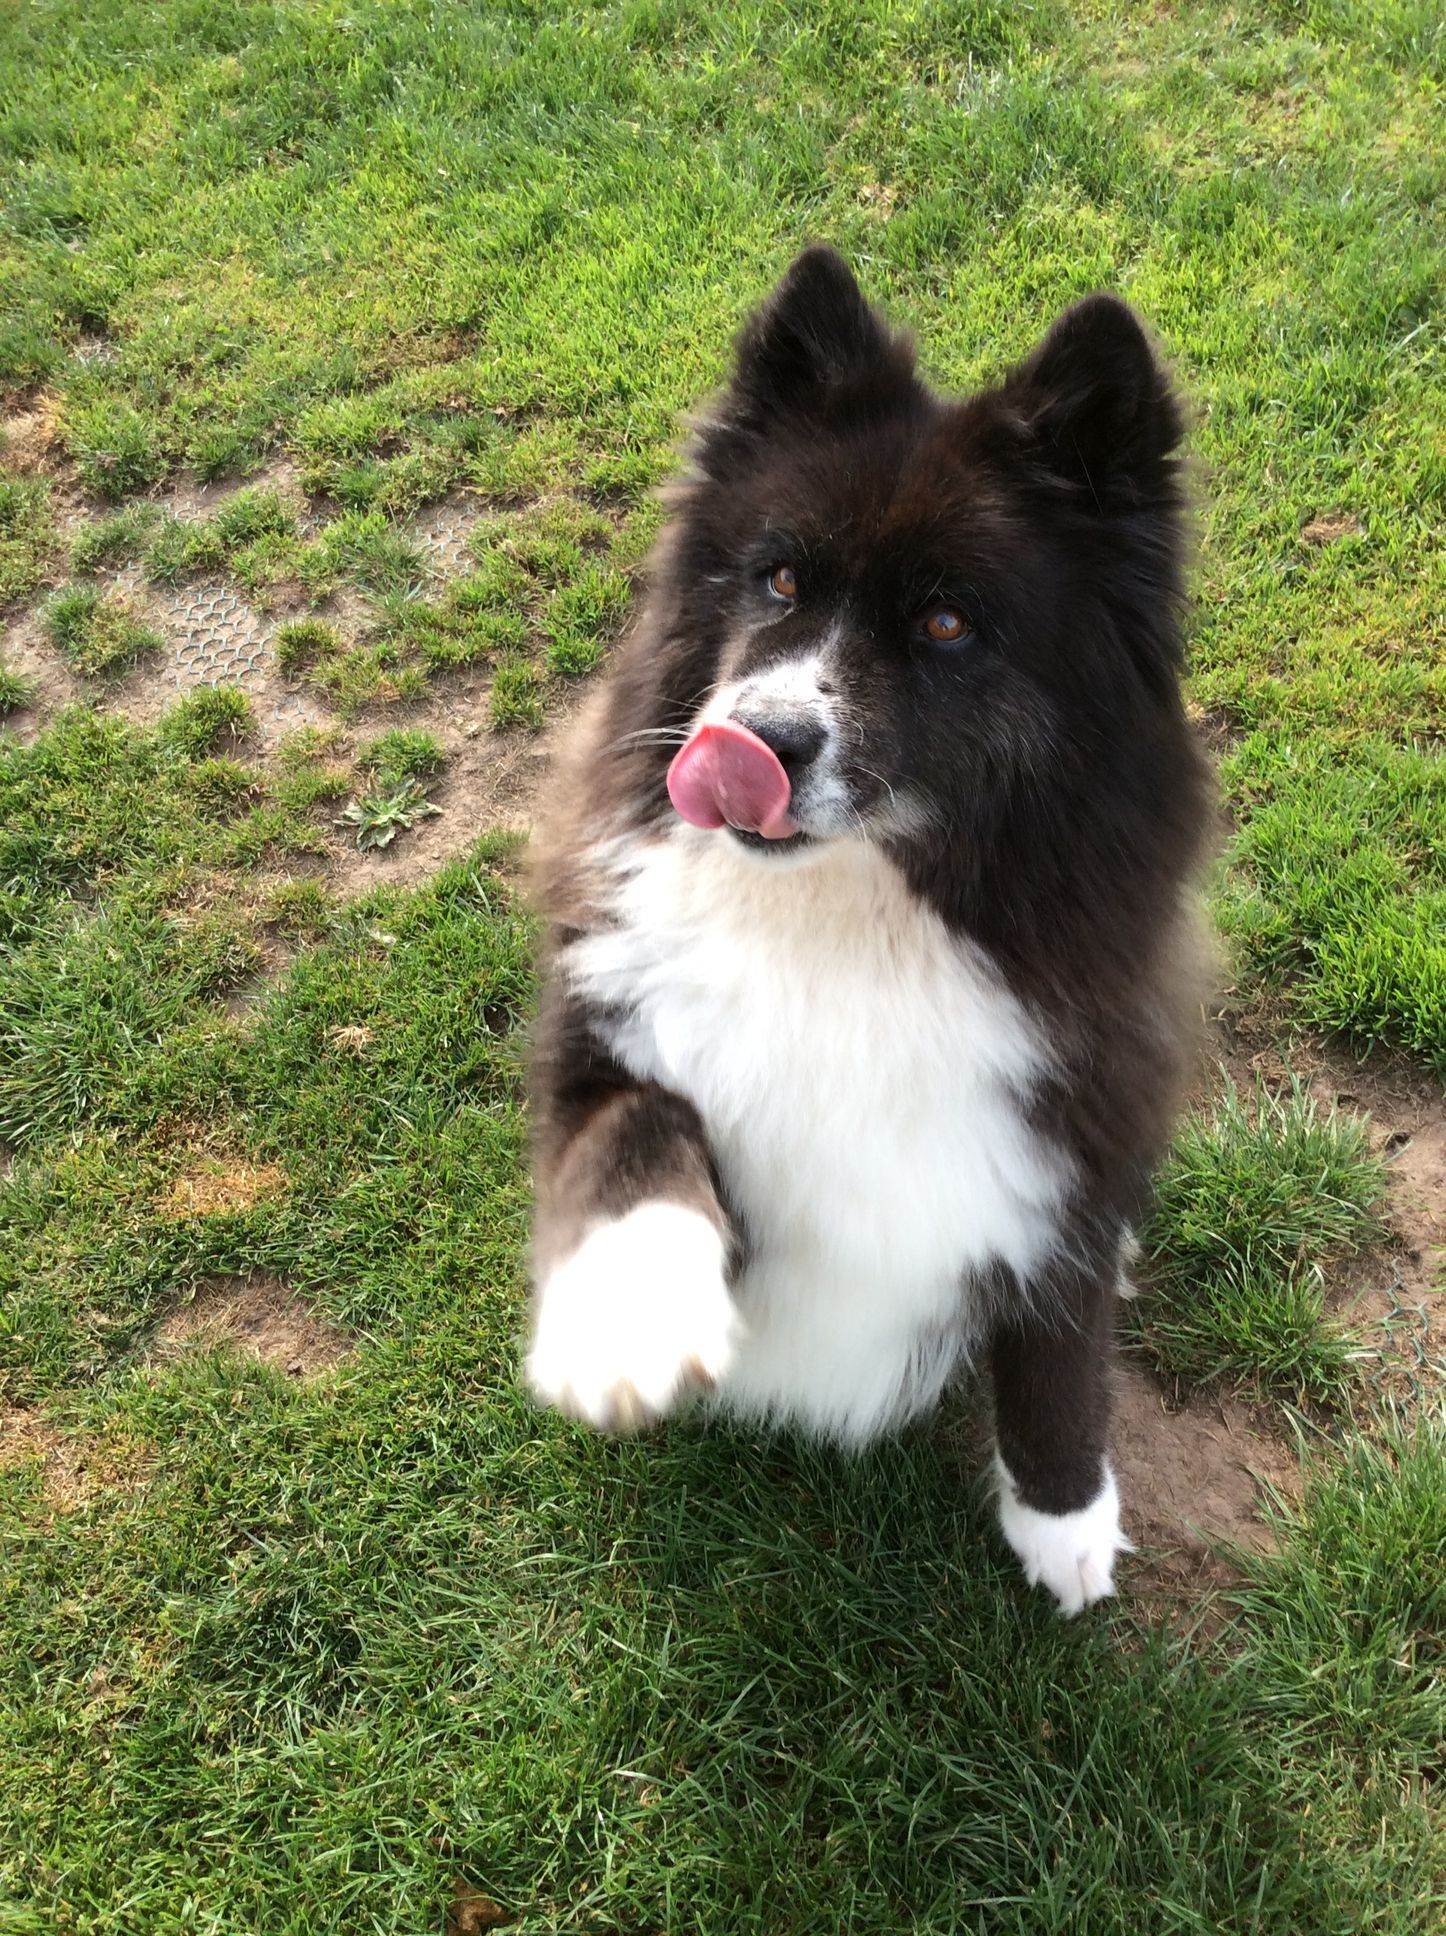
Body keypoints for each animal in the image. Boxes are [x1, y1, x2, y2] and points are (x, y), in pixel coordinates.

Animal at [524, 246, 1209, 1613]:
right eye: (780, 578)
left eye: (947, 625)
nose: (753, 740)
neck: (846, 918)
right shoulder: (599, 1031)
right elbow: (637, 1124)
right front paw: (626, 1313)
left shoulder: (1072, 1123)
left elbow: (1060, 1351)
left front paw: (1065, 1522)